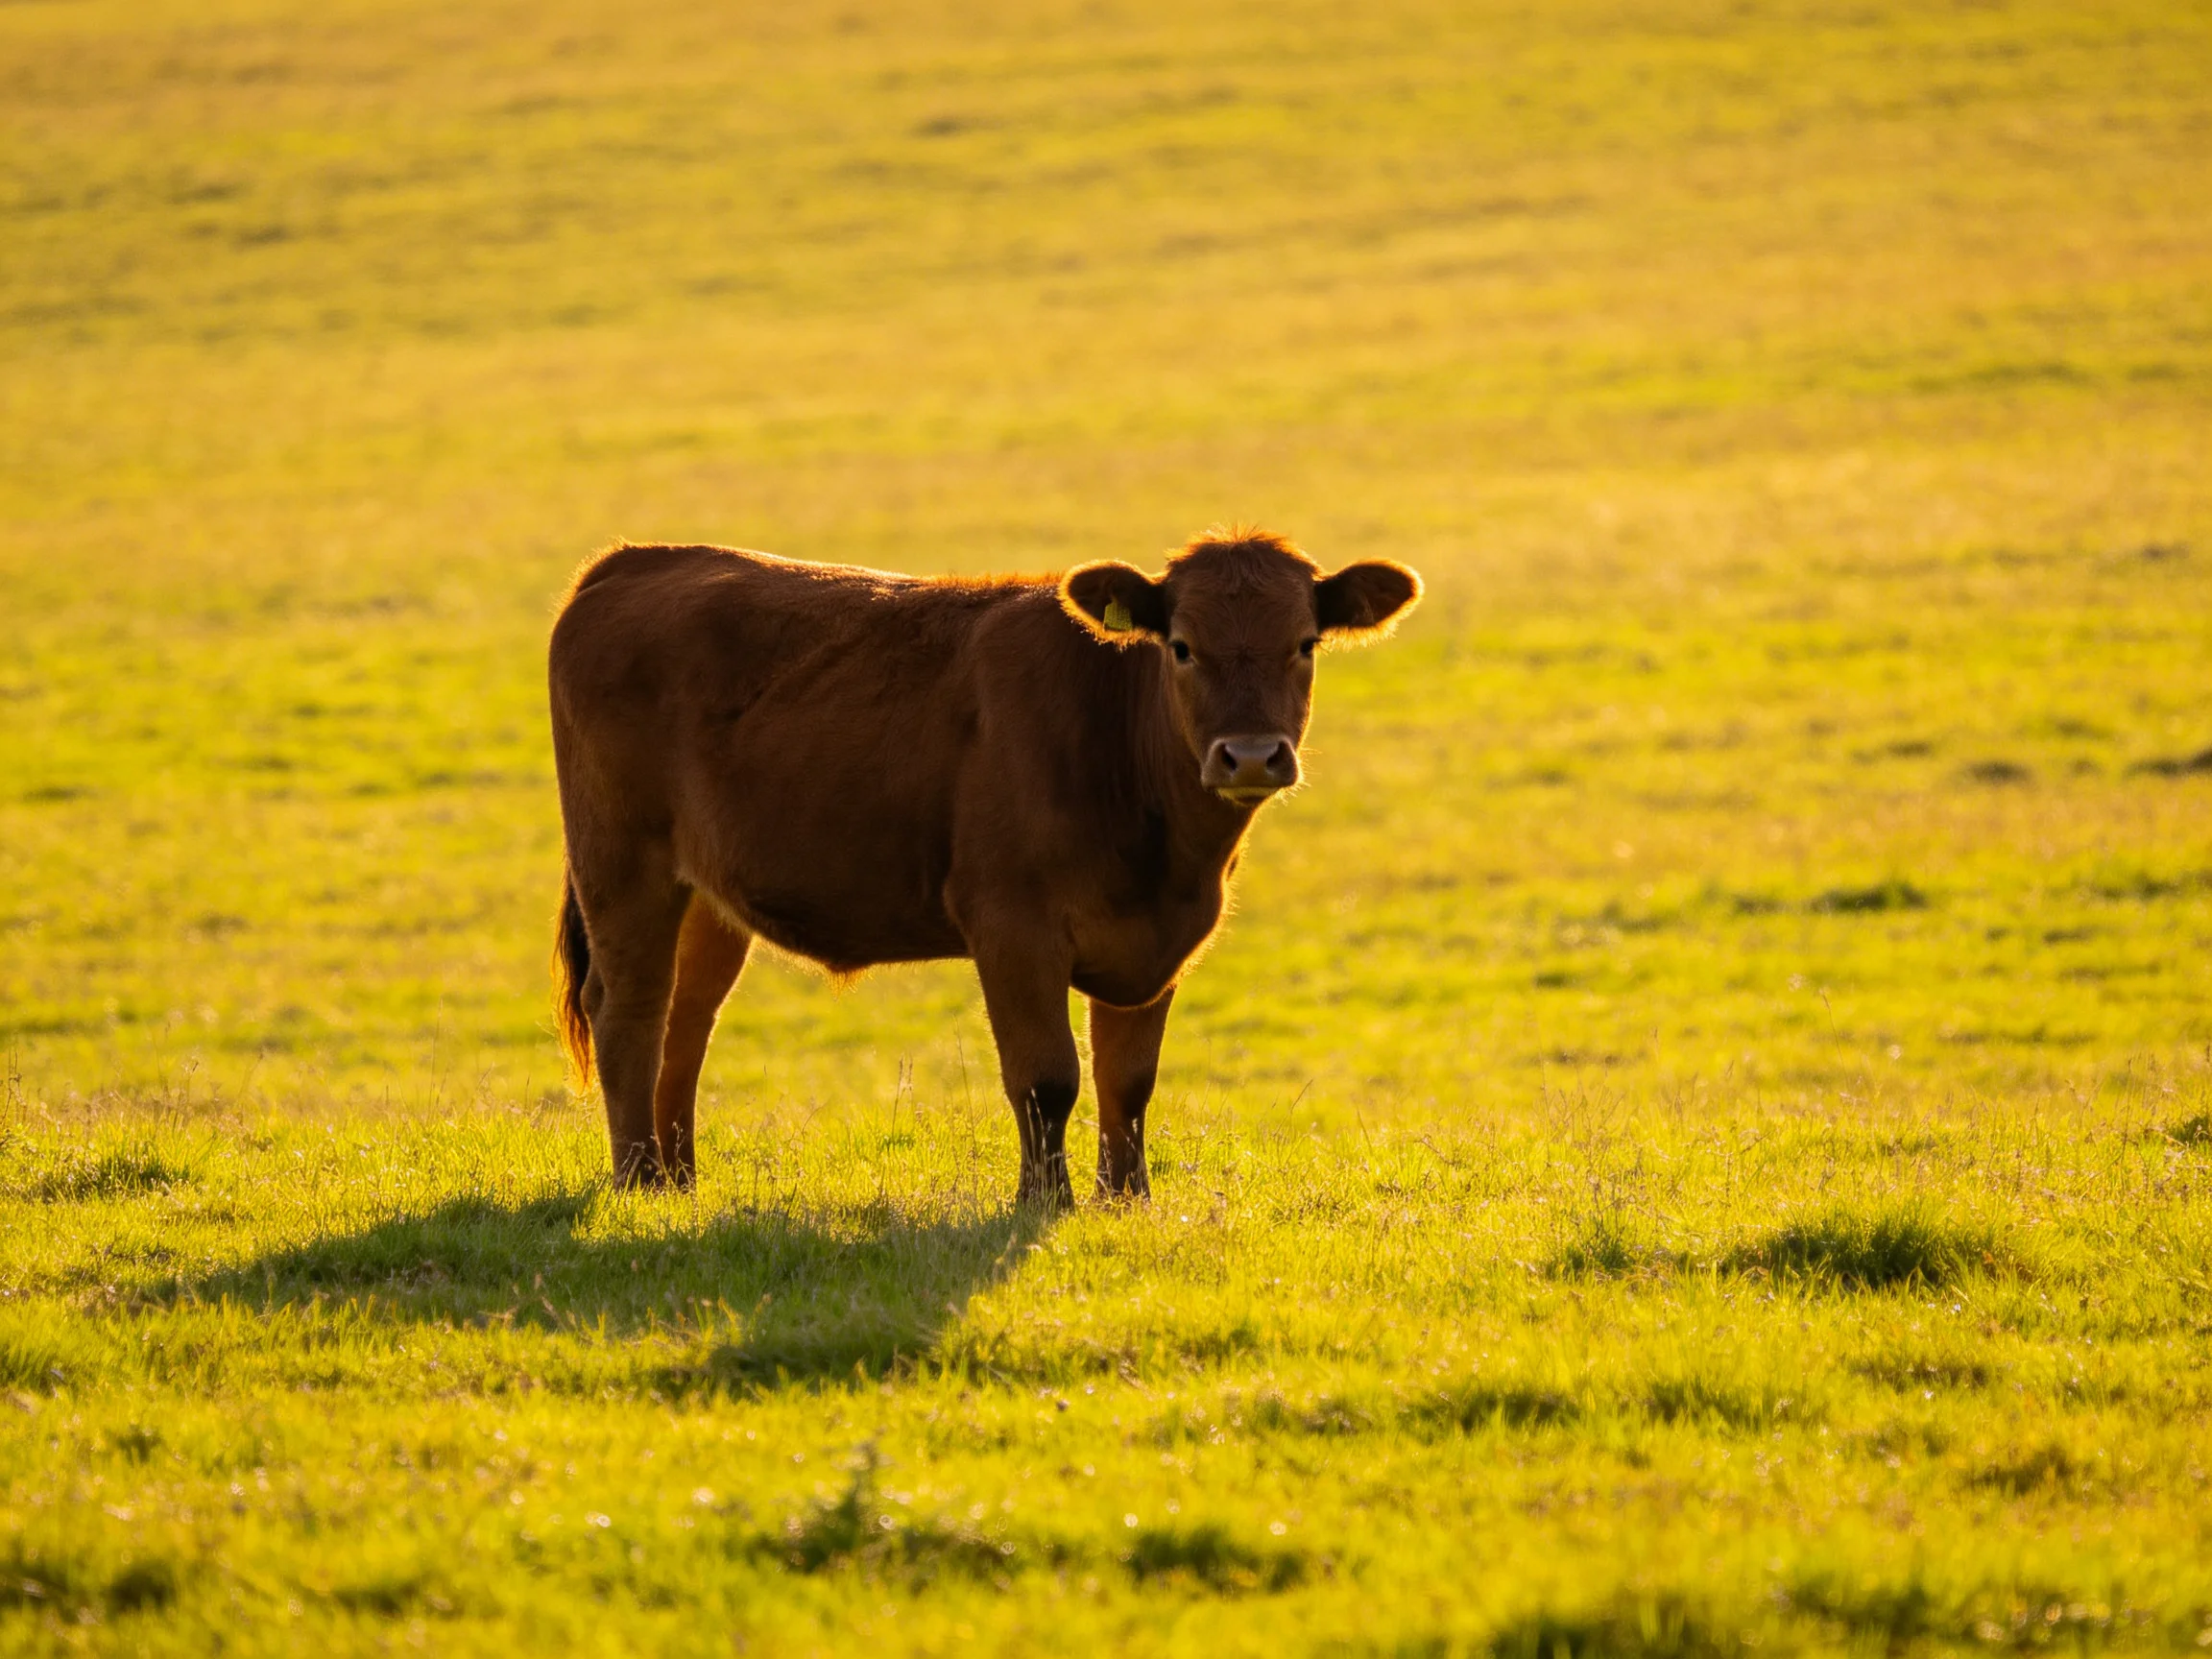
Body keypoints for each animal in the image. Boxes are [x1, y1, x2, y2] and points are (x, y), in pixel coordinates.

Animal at [548, 527, 1421, 1205]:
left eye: (1304, 645)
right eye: (1181, 647)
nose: (1251, 755)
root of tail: (634, 561)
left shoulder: (1156, 945)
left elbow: (1129, 1079)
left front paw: (1126, 1199)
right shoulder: (1012, 926)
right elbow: (1046, 1077)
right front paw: (1046, 1200)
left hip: (705, 899)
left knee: (685, 1020)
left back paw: (677, 1183)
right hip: (622, 866)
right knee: (629, 1012)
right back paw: (635, 1182)